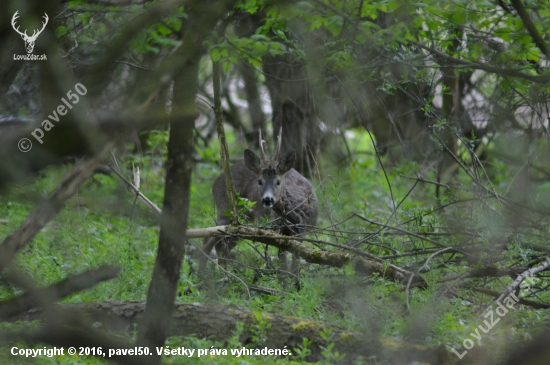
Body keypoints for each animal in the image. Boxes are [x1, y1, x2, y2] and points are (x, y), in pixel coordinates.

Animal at [199, 129, 320, 274]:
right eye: (260, 181)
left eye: (278, 181)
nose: (267, 199)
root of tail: (215, 182)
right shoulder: (277, 230)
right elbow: (283, 264)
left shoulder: (302, 232)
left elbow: (295, 263)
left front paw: (294, 279)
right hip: (225, 211)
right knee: (208, 240)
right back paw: (202, 275)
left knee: (222, 246)